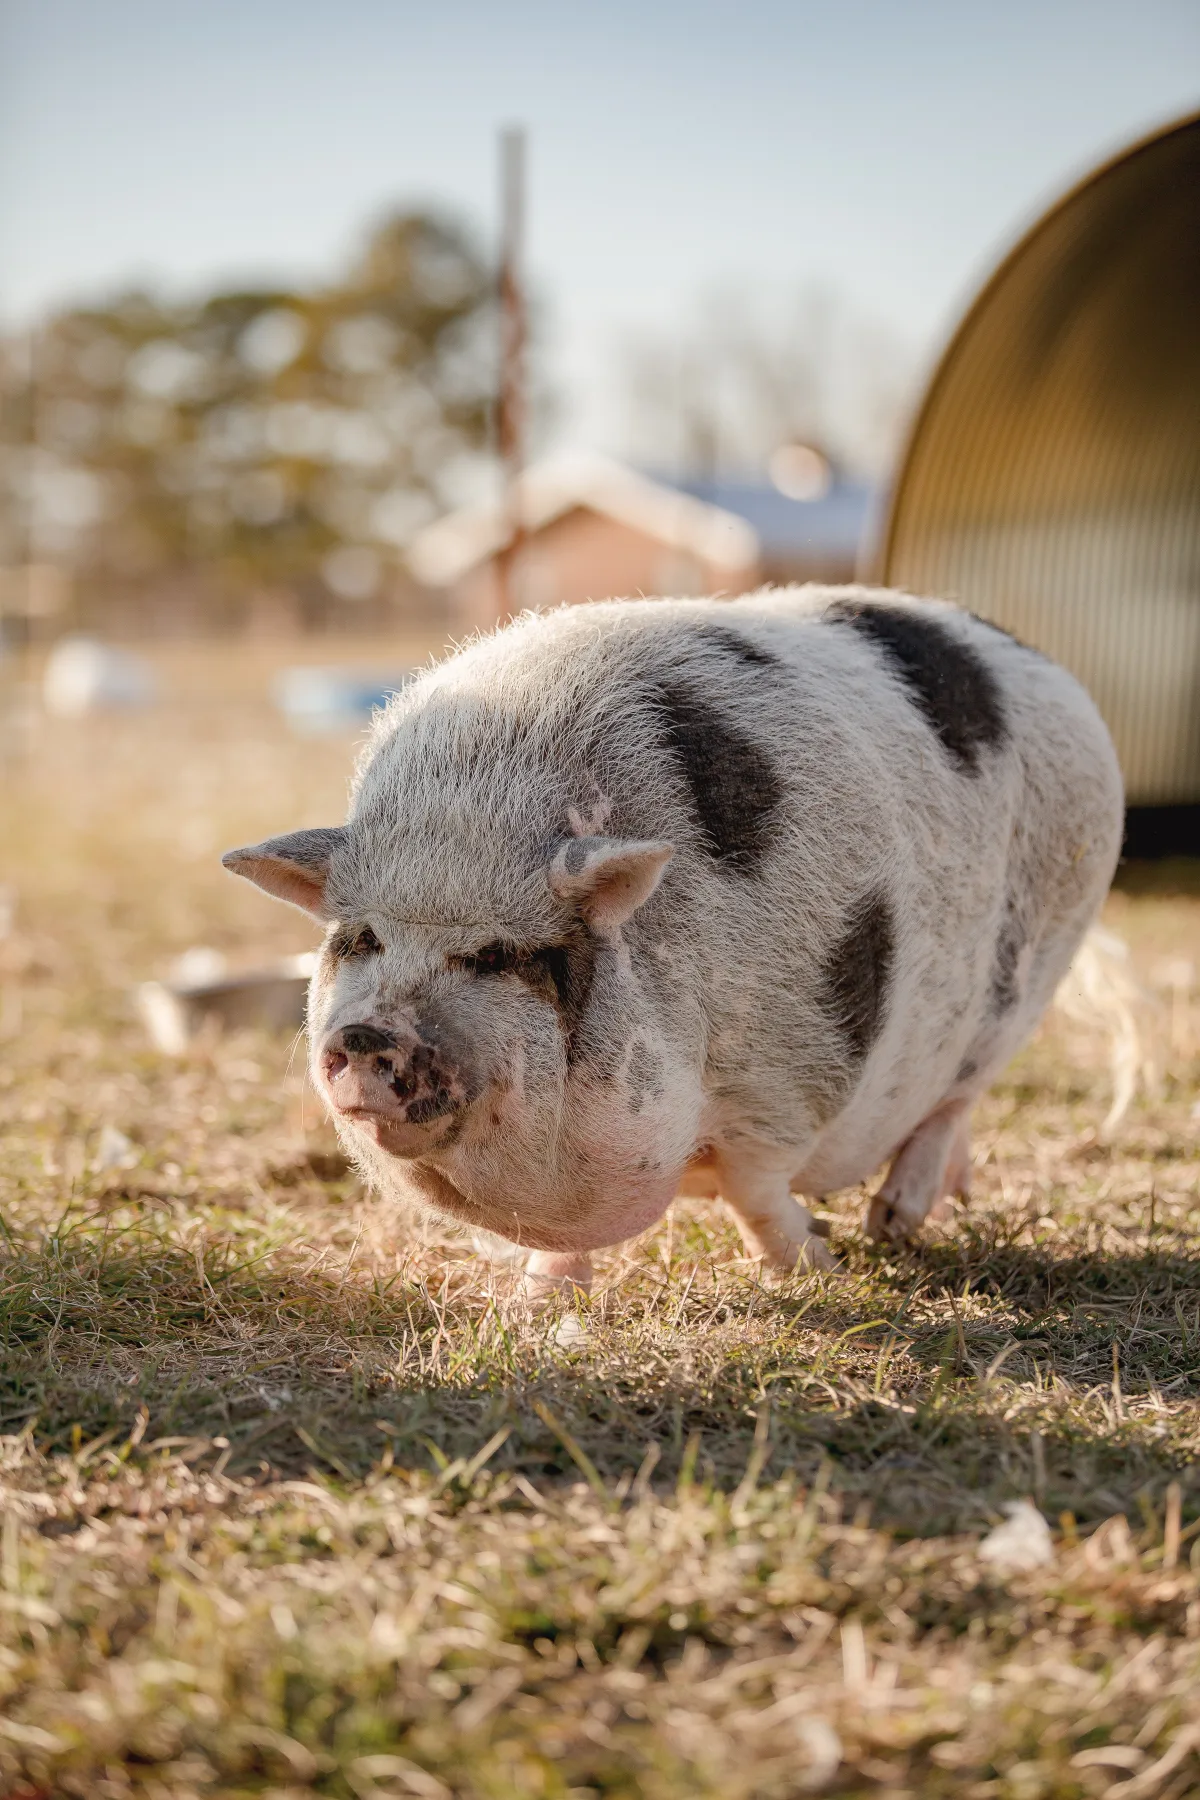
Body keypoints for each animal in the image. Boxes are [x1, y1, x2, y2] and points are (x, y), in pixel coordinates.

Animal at [223, 587, 1123, 1296]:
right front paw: (541, 1303)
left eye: (496, 955)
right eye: (361, 938)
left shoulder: (794, 1070)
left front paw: (817, 1268)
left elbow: (756, 1190)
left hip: (1043, 953)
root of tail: (1047, 666)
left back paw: (891, 1225)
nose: (366, 1033)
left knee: (956, 1098)